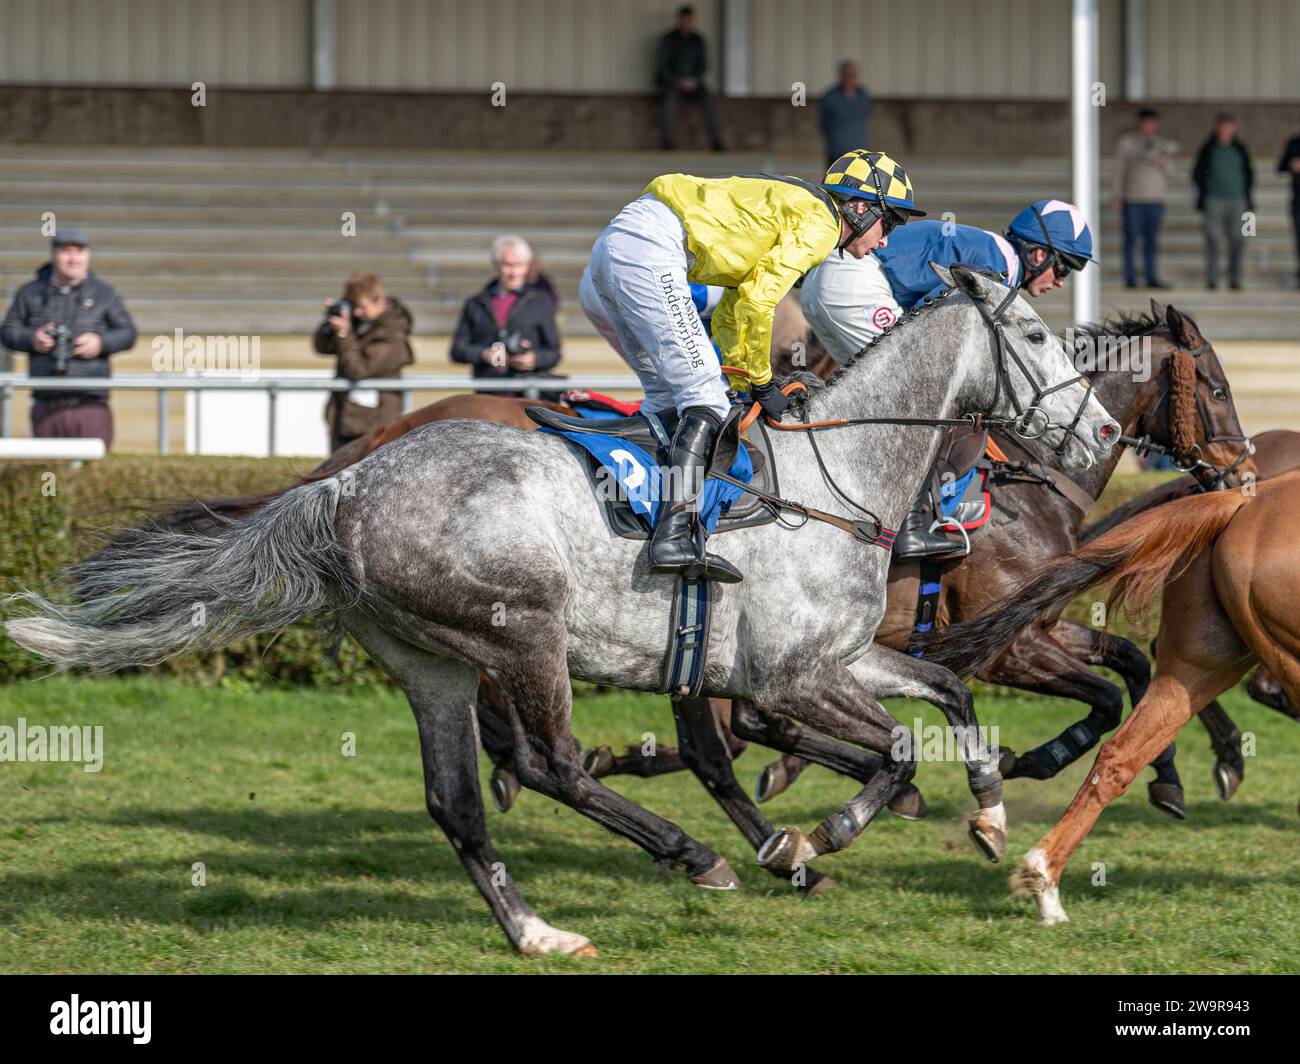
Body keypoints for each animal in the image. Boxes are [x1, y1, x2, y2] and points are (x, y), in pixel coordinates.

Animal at [7, 262, 1118, 952]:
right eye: (1031, 331)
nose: (1105, 434)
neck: (837, 477)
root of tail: (346, 483)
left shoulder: (843, 656)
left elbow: (947, 697)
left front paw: (988, 811)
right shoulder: (789, 673)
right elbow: (889, 750)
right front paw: (815, 837)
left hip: (431, 661)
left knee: (456, 800)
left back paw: (538, 929)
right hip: (522, 634)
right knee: (549, 762)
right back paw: (696, 854)